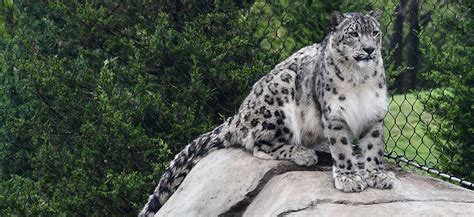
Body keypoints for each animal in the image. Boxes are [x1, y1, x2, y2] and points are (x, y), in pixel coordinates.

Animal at [139, 10, 394, 217]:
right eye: (353, 33)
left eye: (375, 32)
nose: (369, 49)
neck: (359, 79)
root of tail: (238, 115)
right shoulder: (334, 115)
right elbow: (341, 148)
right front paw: (349, 177)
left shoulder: (374, 112)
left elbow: (374, 147)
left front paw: (377, 175)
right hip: (279, 99)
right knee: (259, 144)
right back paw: (304, 153)